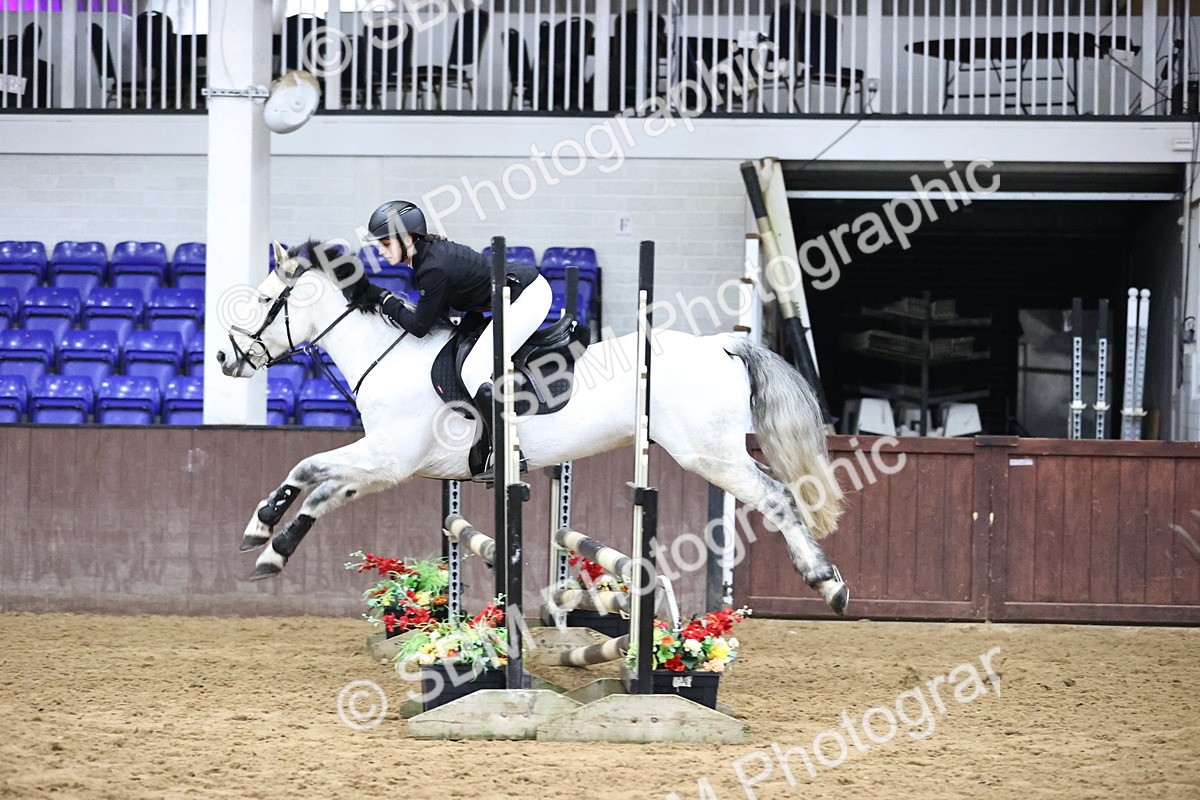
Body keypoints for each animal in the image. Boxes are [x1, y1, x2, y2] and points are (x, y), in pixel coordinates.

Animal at [216, 241, 850, 615]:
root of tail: (722, 344)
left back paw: (829, 583)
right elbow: (313, 477)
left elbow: (314, 474)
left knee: (776, 495)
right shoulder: (386, 463)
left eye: (266, 300)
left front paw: (269, 546)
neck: (389, 354)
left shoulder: (389, 459)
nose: (224, 359)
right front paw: (261, 531)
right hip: (717, 449)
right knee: (780, 489)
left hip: (708, 454)